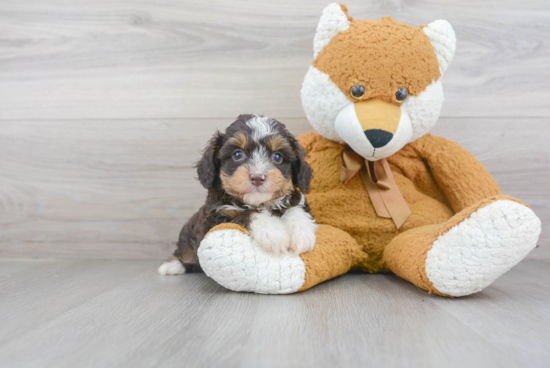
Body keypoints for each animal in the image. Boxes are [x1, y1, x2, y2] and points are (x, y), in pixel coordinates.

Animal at [157, 113, 320, 274]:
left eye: (277, 157)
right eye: (237, 154)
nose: (257, 177)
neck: (259, 203)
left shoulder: (296, 200)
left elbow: (295, 209)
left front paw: (302, 233)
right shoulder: (216, 218)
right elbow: (248, 214)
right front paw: (272, 232)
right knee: (184, 250)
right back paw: (172, 265)